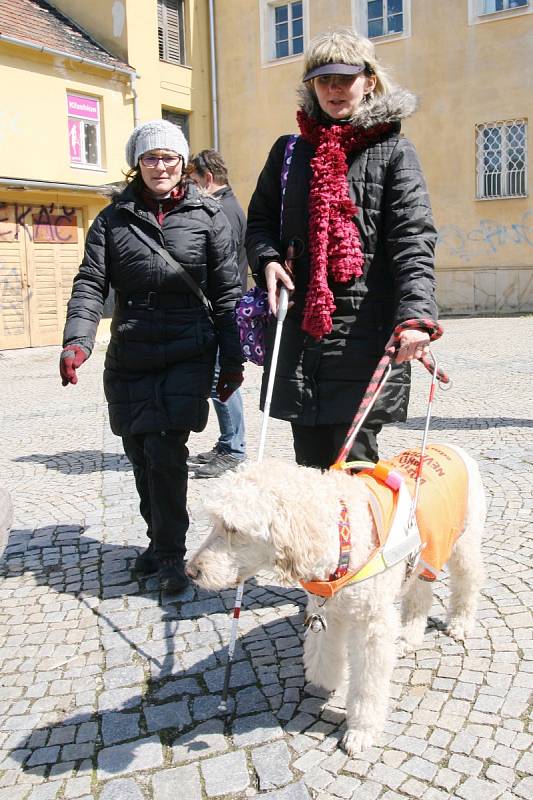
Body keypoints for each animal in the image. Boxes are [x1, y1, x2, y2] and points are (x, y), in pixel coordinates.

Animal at [186, 444, 482, 756]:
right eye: (215, 522)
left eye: (233, 528)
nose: (191, 571)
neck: (343, 538)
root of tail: (453, 447)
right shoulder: (326, 609)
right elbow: (322, 654)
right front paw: (327, 679)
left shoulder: (371, 624)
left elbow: (367, 683)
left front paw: (361, 730)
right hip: (426, 553)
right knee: (419, 595)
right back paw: (407, 638)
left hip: (463, 541)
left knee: (469, 580)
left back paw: (460, 623)